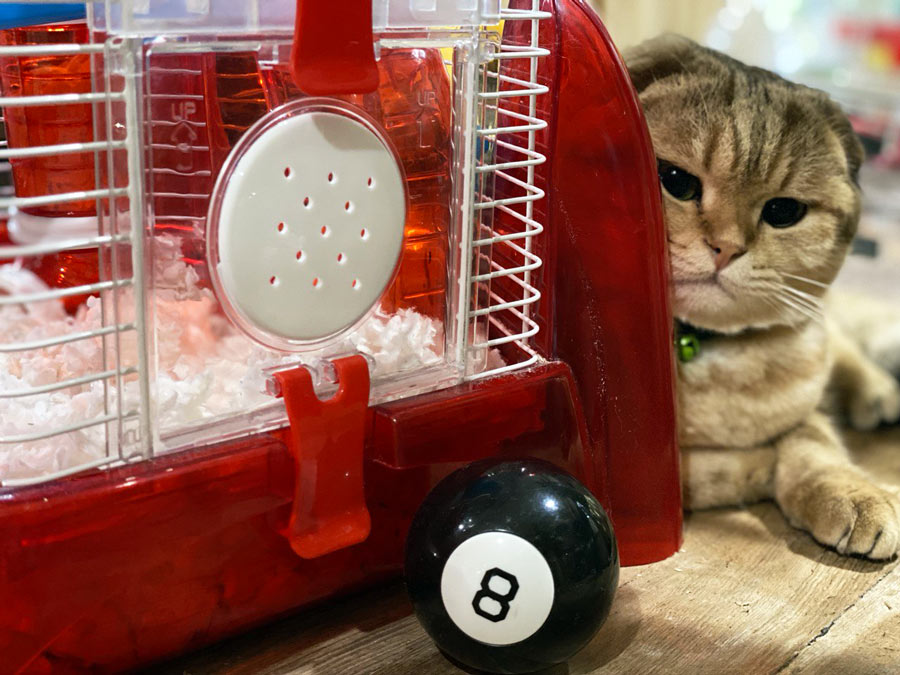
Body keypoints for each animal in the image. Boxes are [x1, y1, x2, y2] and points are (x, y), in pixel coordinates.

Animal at [624, 33, 900, 560]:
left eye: (784, 211)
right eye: (676, 181)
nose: (726, 248)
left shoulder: (805, 401)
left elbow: (814, 443)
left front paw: (856, 493)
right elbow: (719, 470)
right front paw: (755, 466)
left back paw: (878, 392)